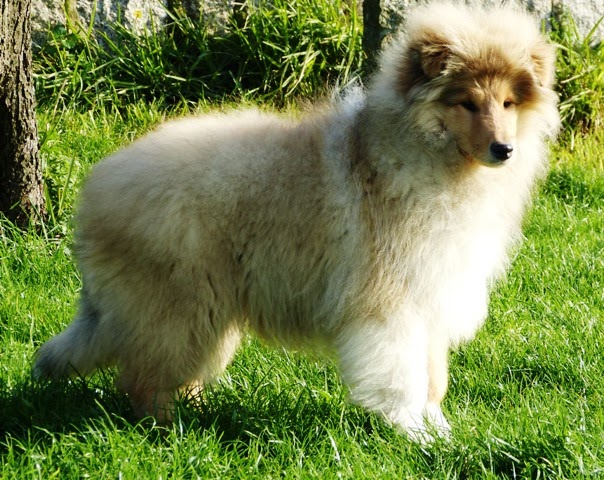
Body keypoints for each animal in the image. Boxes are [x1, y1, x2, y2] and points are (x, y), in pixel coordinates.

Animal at [34, 2, 559, 440]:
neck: (417, 151)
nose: (504, 150)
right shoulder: (390, 304)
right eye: (467, 102)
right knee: (145, 382)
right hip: (177, 307)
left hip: (203, 315)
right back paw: (171, 434)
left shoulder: (429, 296)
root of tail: (97, 189)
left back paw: (196, 416)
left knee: (171, 376)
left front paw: (438, 430)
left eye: (509, 103)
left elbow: (433, 378)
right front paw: (414, 433)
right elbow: (403, 376)